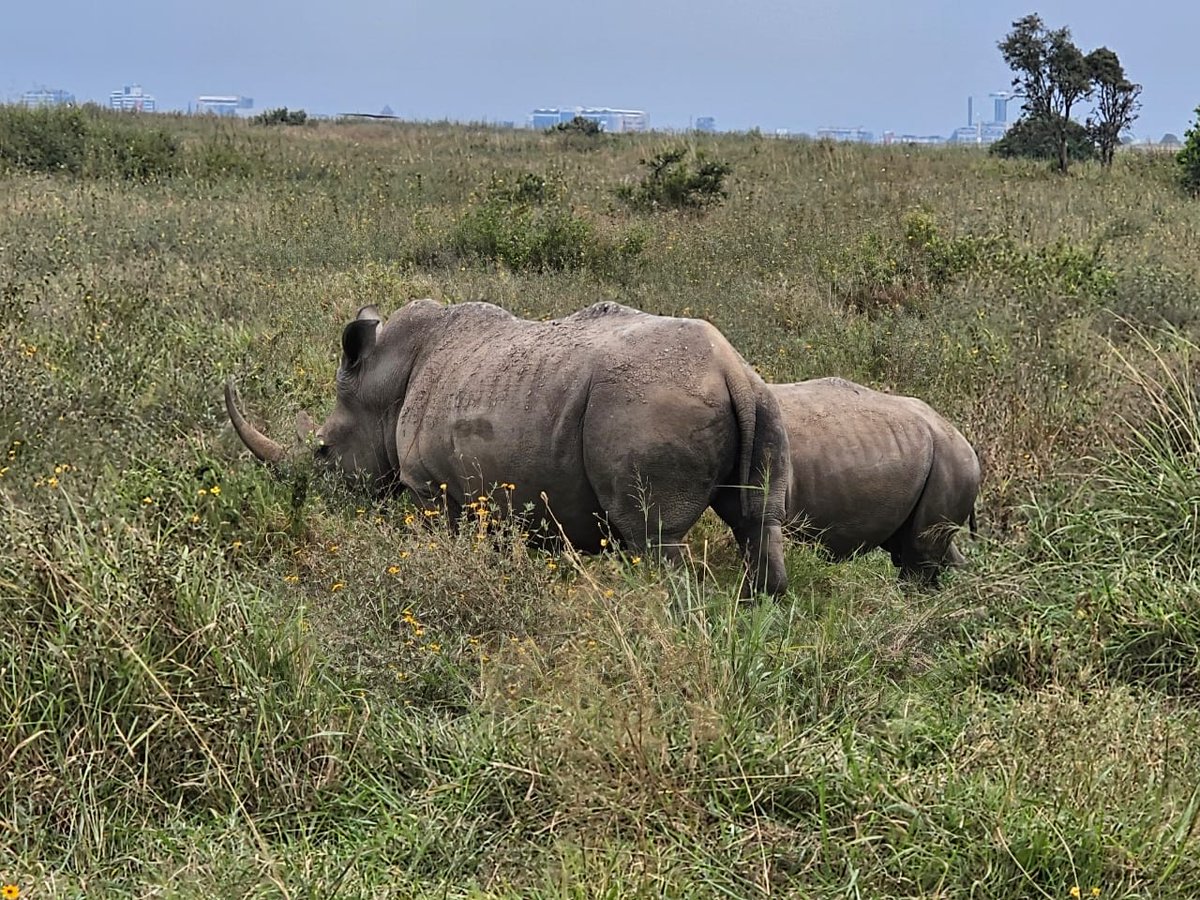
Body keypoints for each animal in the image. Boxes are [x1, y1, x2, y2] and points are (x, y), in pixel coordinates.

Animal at [226, 299, 791, 596]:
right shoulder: (491, 488)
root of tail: (729, 368)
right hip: (759, 400)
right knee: (757, 520)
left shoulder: (428, 486)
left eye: (322, 451)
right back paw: (763, 602)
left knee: (655, 537)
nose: (311, 499)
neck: (382, 385)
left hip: (648, 406)